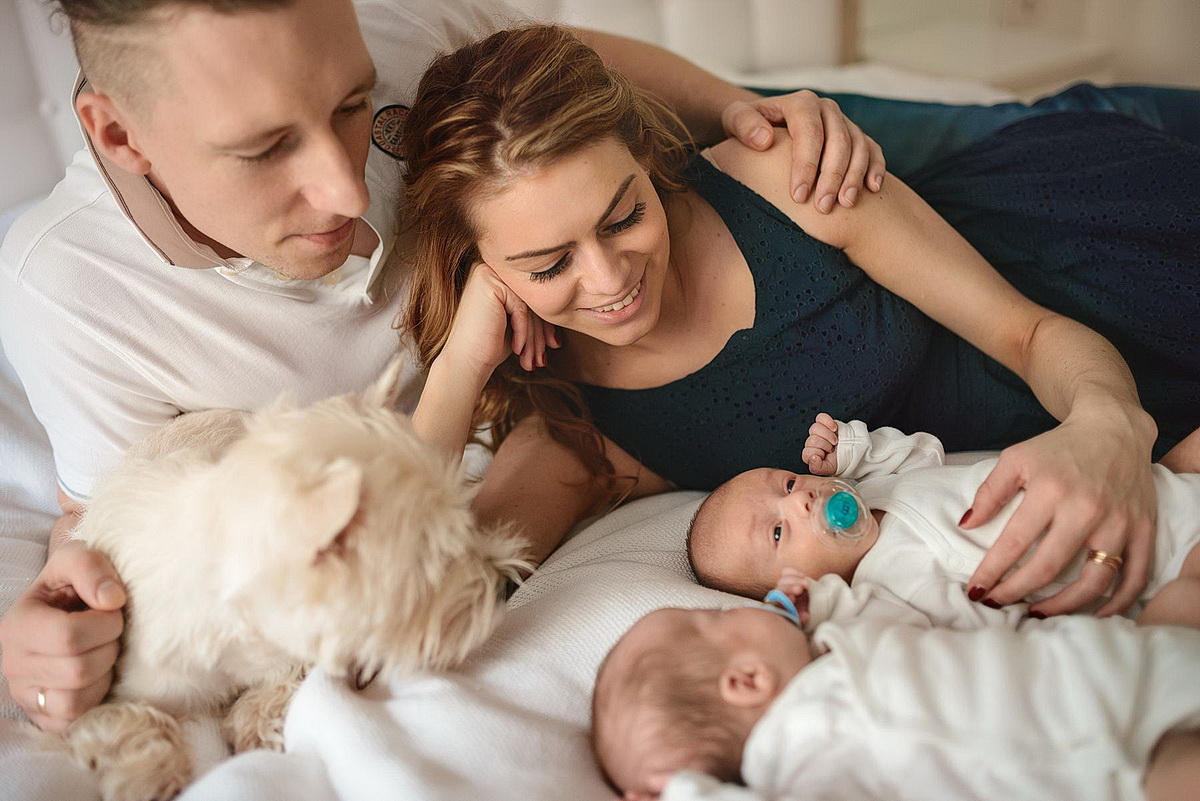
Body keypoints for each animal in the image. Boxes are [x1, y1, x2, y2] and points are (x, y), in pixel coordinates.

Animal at [57, 362, 525, 801]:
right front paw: (148, 774)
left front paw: (252, 725)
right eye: (438, 561)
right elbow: (126, 719)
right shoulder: (117, 684)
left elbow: (281, 682)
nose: (505, 587)